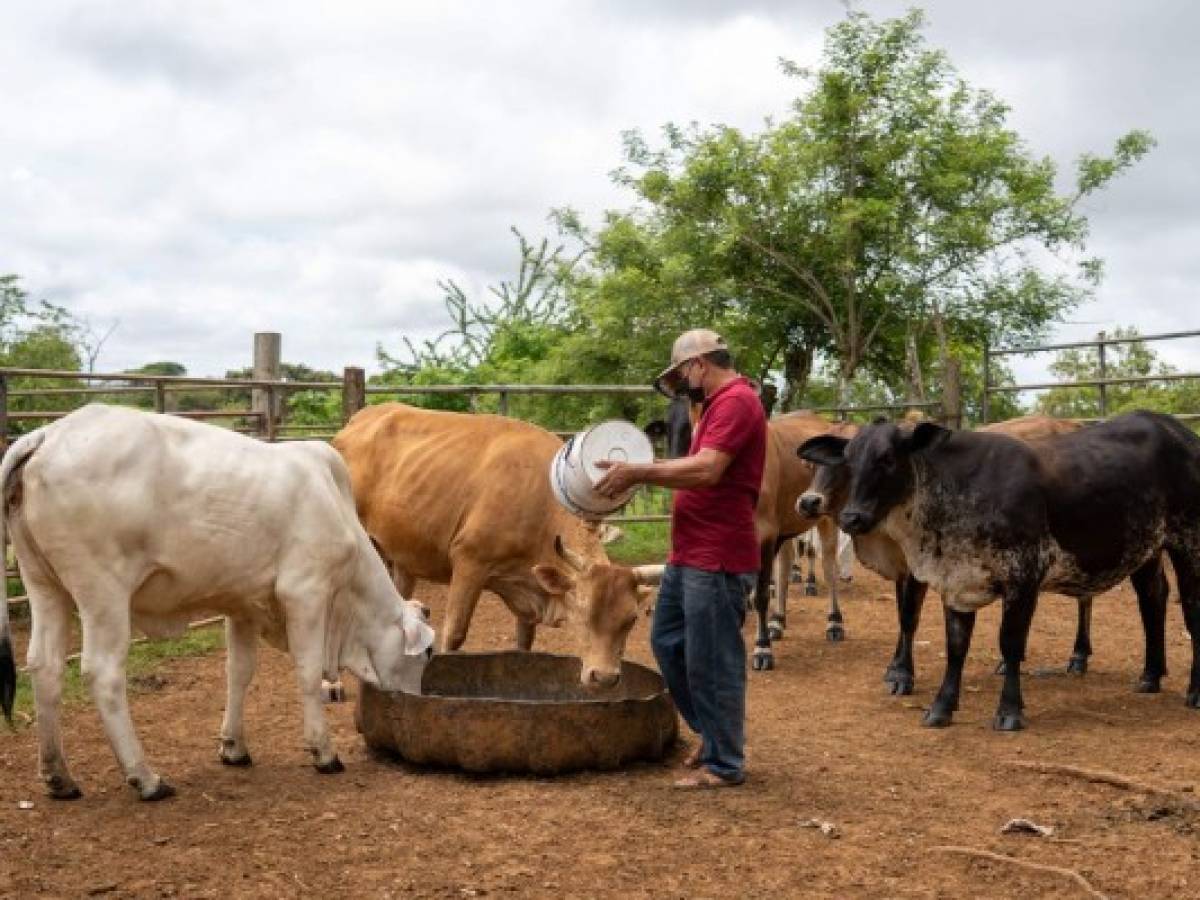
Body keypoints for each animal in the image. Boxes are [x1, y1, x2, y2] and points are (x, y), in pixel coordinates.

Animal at [0, 408, 439, 801]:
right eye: (427, 653)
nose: (417, 702)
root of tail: (45, 435)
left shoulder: (242, 603)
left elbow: (238, 673)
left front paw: (234, 747)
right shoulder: (305, 592)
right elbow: (309, 671)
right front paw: (324, 752)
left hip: (44, 585)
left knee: (45, 666)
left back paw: (59, 777)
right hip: (103, 593)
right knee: (103, 672)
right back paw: (146, 778)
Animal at [333, 405, 662, 686]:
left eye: (632, 619)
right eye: (583, 612)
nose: (604, 677)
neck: (538, 501)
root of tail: (356, 422)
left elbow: (524, 643)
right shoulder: (470, 562)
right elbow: (455, 633)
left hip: (401, 557)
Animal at [796, 412, 1200, 729]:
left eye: (887, 459)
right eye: (848, 460)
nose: (852, 517)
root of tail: (1177, 430)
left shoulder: (1024, 577)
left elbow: (1010, 643)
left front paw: (1009, 712)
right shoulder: (956, 581)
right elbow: (955, 646)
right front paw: (941, 708)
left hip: (1189, 545)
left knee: (1191, 612)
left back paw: (1194, 691)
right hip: (1146, 549)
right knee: (1153, 598)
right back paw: (1150, 676)